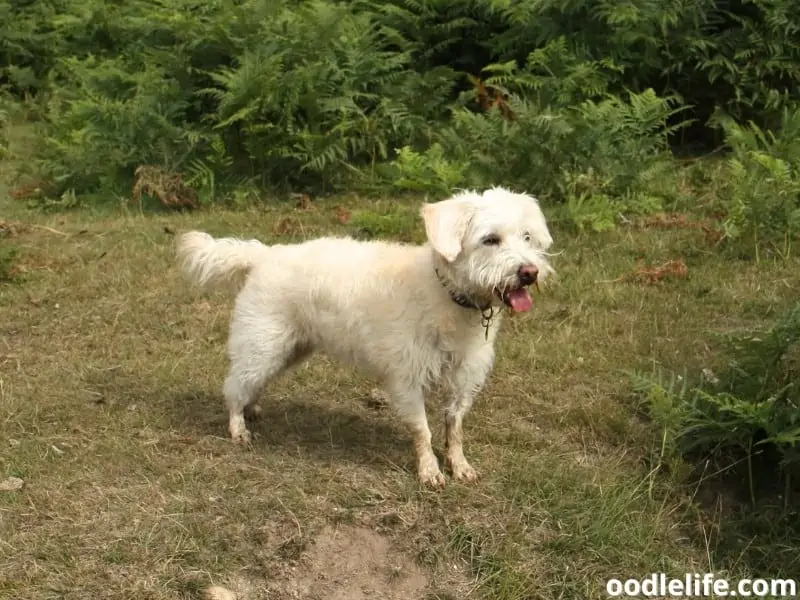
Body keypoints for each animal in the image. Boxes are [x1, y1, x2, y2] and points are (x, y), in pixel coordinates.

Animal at [177, 188, 552, 488]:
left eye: (527, 237)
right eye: (490, 240)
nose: (529, 273)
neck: (447, 294)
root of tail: (265, 254)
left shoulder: (463, 377)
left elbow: (454, 426)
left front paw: (458, 465)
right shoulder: (406, 379)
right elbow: (423, 430)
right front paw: (429, 471)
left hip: (288, 350)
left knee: (251, 382)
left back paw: (252, 408)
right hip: (263, 344)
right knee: (234, 386)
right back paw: (238, 426)